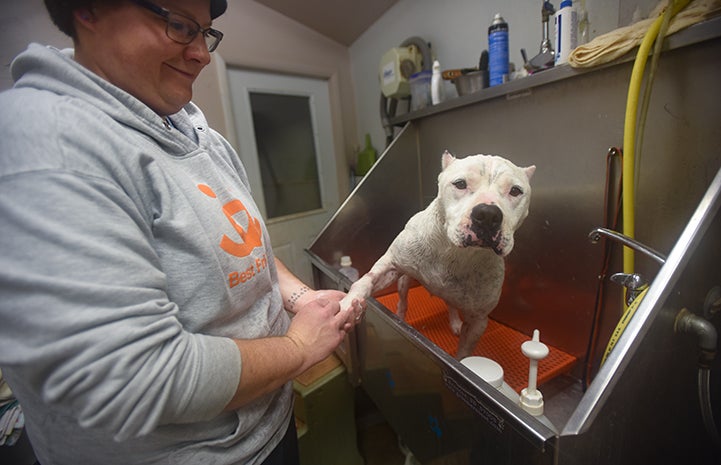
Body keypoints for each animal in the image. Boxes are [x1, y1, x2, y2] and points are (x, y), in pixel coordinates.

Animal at [344, 150, 536, 358]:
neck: (454, 252)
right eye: (460, 183)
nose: (488, 214)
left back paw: (455, 322)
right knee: (403, 301)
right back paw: (400, 316)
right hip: (404, 281)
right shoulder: (390, 265)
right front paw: (347, 305)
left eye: (515, 191)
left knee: (451, 305)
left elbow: (464, 354)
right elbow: (365, 281)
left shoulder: (478, 321)